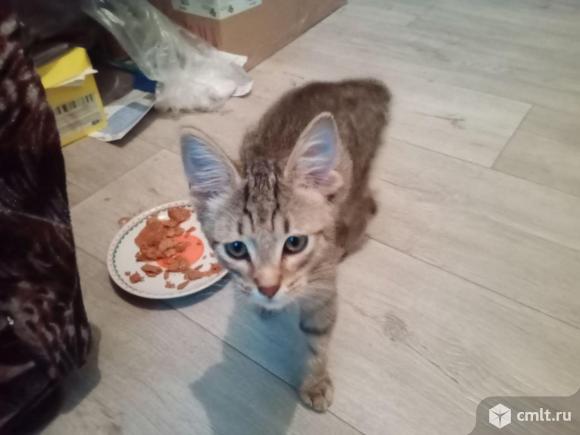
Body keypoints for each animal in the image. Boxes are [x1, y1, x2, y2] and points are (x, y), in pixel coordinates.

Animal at [181, 79, 390, 412]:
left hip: (357, 180)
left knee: (367, 206)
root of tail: (355, 85)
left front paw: (315, 382)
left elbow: (318, 336)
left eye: (295, 242)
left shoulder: (324, 287)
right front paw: (265, 304)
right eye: (236, 248)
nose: (268, 288)